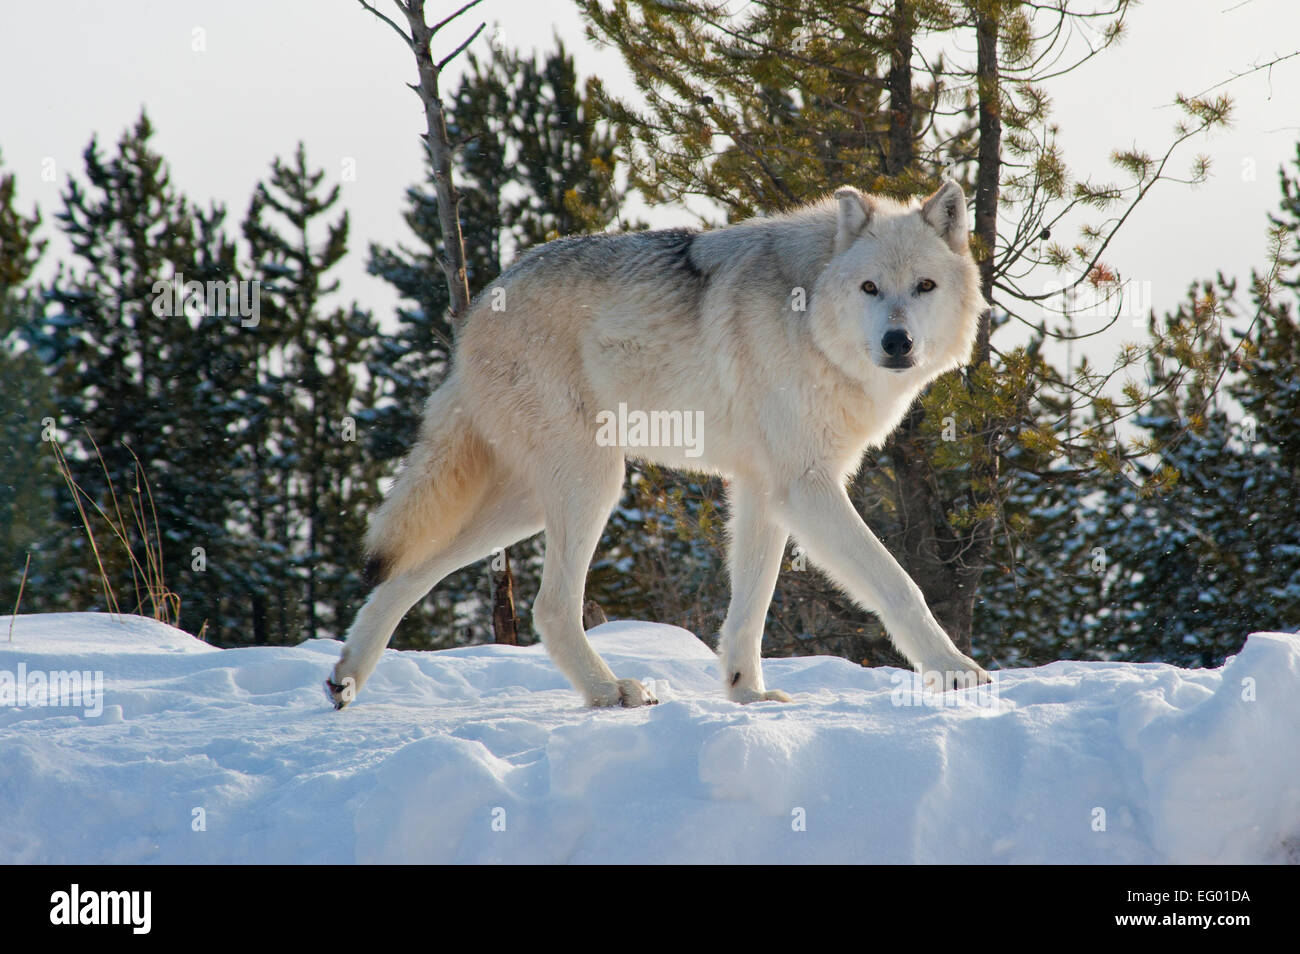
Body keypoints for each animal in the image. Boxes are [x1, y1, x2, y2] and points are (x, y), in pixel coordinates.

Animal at [325, 180, 982, 712]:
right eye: (870, 287)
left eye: (924, 286)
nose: (898, 343)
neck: (811, 316)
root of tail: (478, 310)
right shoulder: (805, 487)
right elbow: (898, 584)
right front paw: (956, 673)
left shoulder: (764, 492)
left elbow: (751, 606)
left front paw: (748, 693)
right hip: (593, 483)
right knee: (550, 606)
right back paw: (609, 691)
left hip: (529, 504)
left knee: (408, 571)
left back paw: (346, 677)